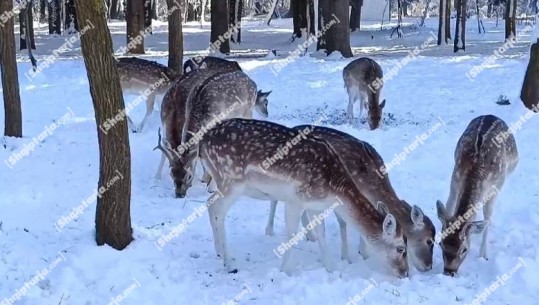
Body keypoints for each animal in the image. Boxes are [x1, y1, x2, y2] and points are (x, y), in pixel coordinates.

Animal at [155, 68, 274, 197]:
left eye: (189, 176)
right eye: (172, 174)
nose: (179, 195)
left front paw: (211, 187)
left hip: (248, 110)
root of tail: (252, 81)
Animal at [198, 117, 410, 276]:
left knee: (209, 205)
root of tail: (202, 143)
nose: (405, 273)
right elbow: (292, 232)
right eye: (401, 248)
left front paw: (331, 268)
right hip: (231, 179)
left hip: (222, 181)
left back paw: (219, 253)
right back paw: (230, 264)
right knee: (215, 209)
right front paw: (285, 270)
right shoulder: (296, 199)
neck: (334, 189)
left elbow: (321, 233)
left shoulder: (315, 205)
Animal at [266, 123, 438, 270]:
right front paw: (351, 256)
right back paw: (269, 231)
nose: (428, 266)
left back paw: (311, 236)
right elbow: (343, 222)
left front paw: (362, 251)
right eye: (429, 241)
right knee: (274, 199)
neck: (369, 183)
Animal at [436, 114, 520, 276]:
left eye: (464, 249)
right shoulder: (455, 178)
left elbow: (487, 215)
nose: (449, 272)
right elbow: (450, 205)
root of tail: (491, 115)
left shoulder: (496, 185)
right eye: (441, 244)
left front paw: (483, 255)